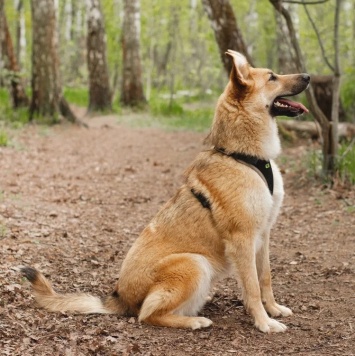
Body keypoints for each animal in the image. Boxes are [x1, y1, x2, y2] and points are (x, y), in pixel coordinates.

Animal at [23, 50, 312, 334]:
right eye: (272, 77)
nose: (308, 76)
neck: (243, 156)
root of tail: (119, 297)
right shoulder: (242, 239)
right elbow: (251, 286)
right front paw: (263, 322)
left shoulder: (263, 234)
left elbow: (265, 277)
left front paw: (273, 309)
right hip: (193, 263)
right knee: (147, 314)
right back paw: (194, 322)